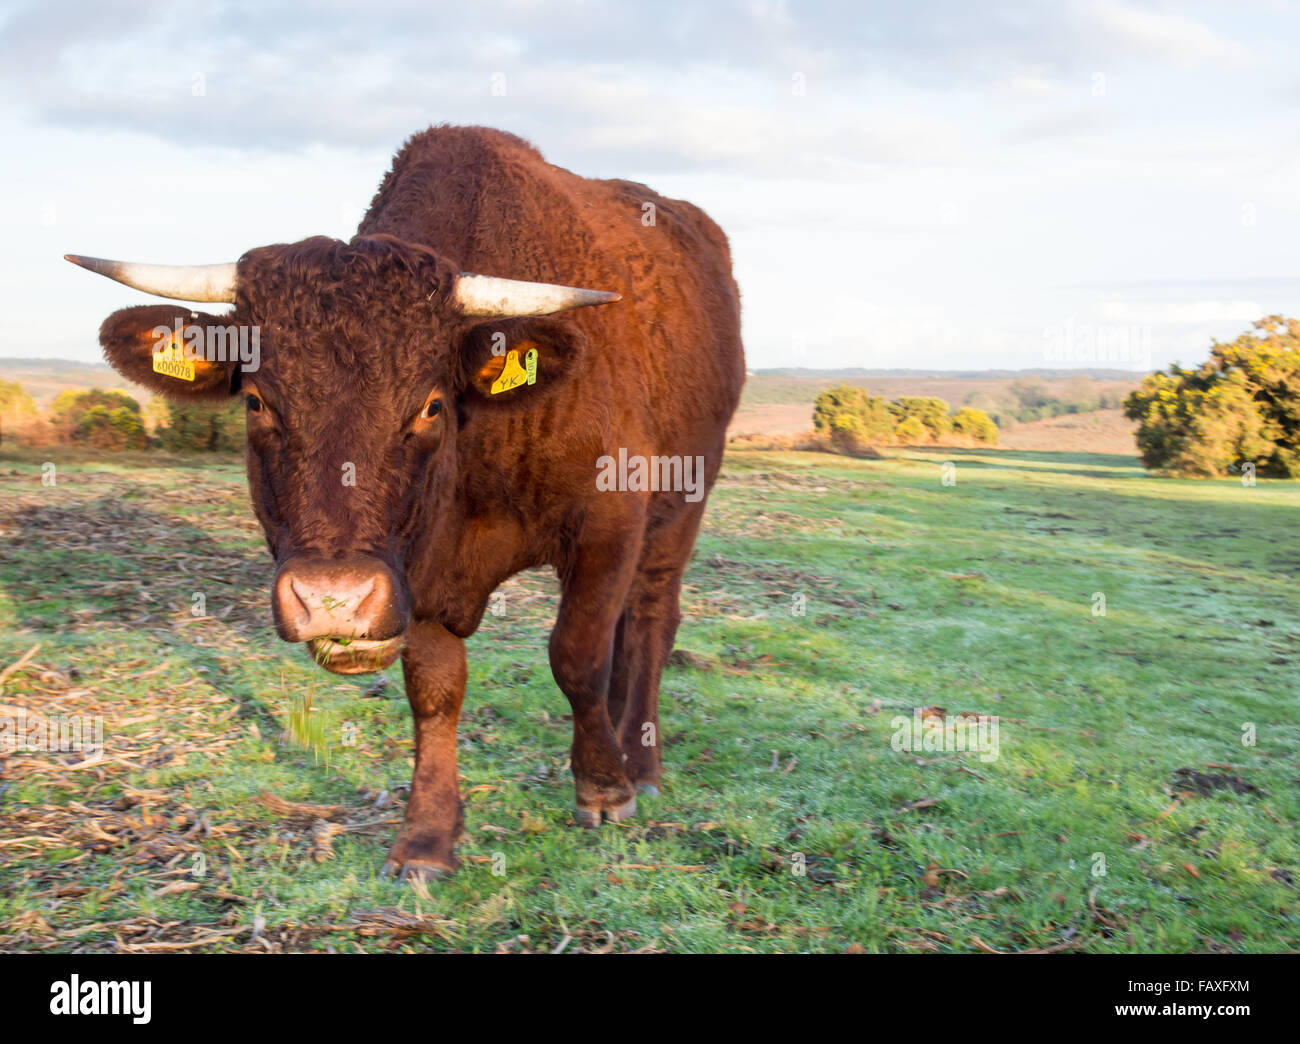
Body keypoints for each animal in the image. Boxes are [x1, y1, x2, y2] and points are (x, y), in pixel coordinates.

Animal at [68, 124, 743, 884]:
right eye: (257, 400)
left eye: (430, 403)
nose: (334, 599)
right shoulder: (418, 571)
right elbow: (435, 689)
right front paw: (426, 836)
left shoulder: (608, 525)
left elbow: (577, 656)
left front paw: (604, 787)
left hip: (682, 507)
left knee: (651, 621)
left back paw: (642, 760)